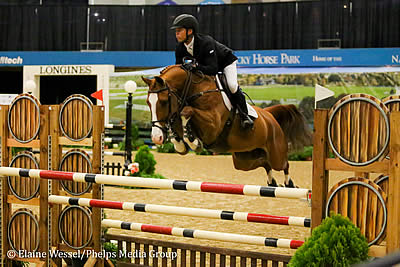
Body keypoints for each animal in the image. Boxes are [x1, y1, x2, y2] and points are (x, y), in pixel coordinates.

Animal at [142, 65, 314, 188]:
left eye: (164, 101)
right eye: (148, 103)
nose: (156, 138)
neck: (195, 90)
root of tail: (269, 115)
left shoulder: (212, 125)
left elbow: (186, 111)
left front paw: (193, 141)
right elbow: (177, 121)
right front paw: (180, 143)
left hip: (275, 152)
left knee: (283, 164)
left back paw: (289, 184)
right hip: (244, 160)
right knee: (264, 163)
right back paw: (272, 182)